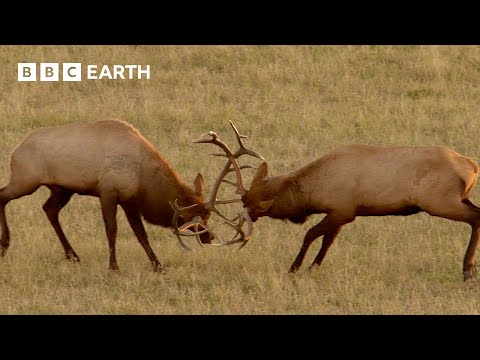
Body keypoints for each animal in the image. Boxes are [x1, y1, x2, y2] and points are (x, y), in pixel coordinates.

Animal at [0, 119, 255, 272]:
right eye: (190, 219)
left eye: (208, 217)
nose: (209, 237)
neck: (143, 178)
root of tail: (16, 149)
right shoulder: (108, 193)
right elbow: (112, 230)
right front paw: (113, 267)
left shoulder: (131, 202)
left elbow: (141, 234)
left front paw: (157, 265)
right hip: (26, 180)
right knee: (3, 195)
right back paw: (5, 245)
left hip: (62, 189)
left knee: (49, 209)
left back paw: (72, 255)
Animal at [199, 124, 480, 282]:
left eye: (248, 201)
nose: (244, 216)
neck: (314, 191)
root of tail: (471, 166)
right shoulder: (342, 214)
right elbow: (327, 240)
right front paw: (313, 267)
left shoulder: (343, 210)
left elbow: (310, 235)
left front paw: (295, 268)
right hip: (458, 198)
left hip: (439, 201)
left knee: (475, 218)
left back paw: (467, 270)